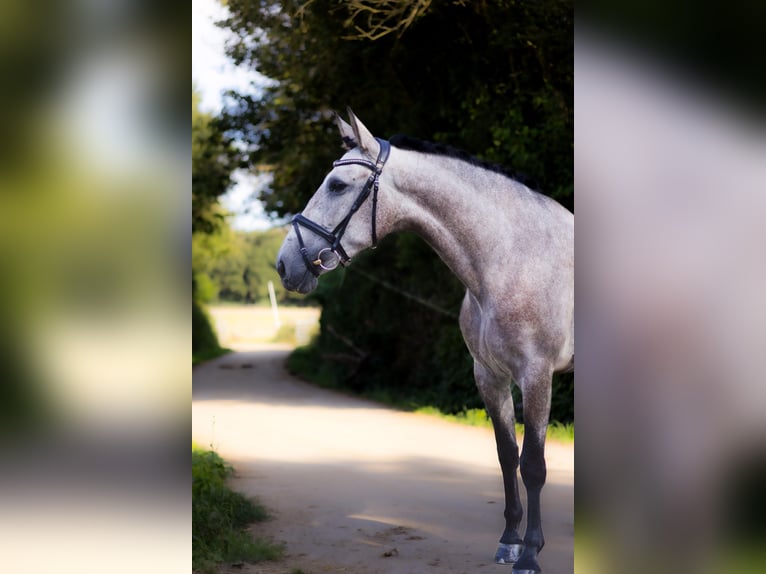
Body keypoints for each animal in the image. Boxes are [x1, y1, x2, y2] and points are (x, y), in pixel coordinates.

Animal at [278, 110, 576, 572]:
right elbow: (506, 455)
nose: (285, 264)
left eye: (338, 185)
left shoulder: (537, 375)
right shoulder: (489, 376)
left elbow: (533, 465)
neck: (512, 258)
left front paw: (529, 553)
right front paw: (509, 542)